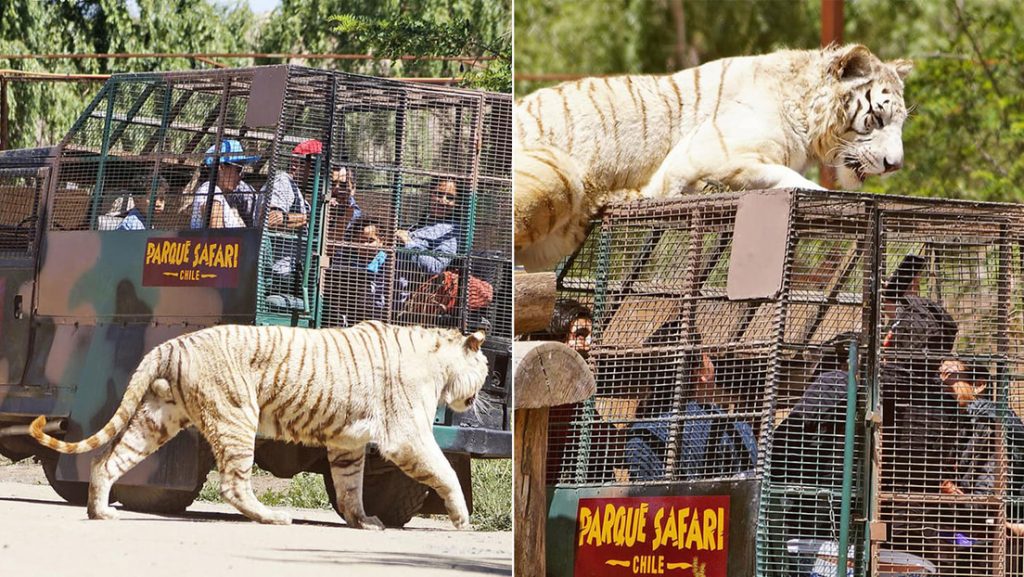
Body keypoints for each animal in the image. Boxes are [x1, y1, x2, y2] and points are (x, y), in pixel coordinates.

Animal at [29, 321, 489, 530]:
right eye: (486, 368)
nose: (481, 395)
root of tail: (172, 342)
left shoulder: (347, 442)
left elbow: (350, 486)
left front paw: (363, 521)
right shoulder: (406, 435)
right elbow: (445, 472)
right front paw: (463, 518)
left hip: (156, 419)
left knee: (107, 461)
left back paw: (101, 512)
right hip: (236, 416)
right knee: (233, 484)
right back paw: (273, 517)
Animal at [514, 43, 913, 270]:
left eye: (901, 122)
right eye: (877, 118)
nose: (895, 165)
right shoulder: (709, 151)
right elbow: (787, 178)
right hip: (559, 172)